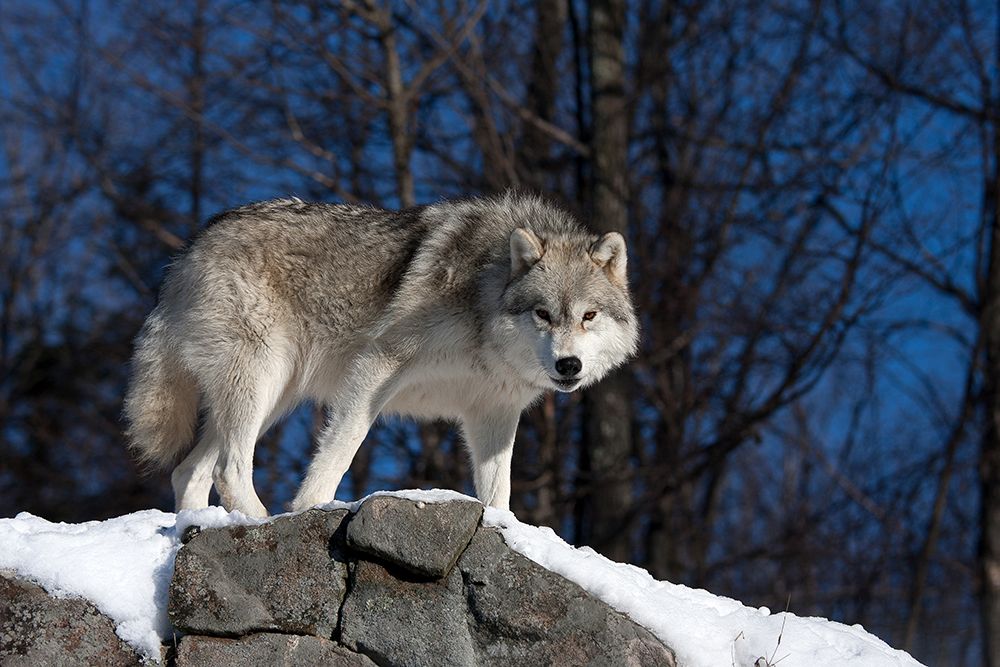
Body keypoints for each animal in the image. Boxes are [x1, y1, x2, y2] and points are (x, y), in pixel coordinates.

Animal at [123, 192, 640, 516]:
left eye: (589, 316)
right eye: (543, 314)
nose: (568, 366)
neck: (483, 303)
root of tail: (191, 246)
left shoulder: (492, 411)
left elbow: (498, 491)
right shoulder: (377, 366)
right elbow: (343, 445)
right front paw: (310, 508)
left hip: (273, 398)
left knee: (189, 472)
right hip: (260, 379)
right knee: (229, 469)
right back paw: (259, 521)